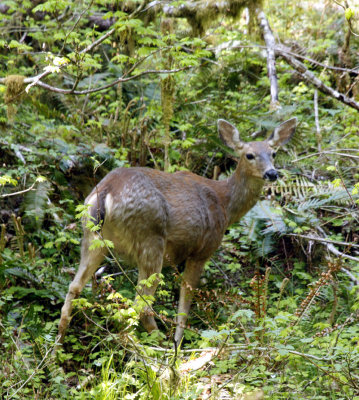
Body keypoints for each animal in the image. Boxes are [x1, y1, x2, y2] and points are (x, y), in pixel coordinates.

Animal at [57, 117, 296, 346]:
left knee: (74, 287)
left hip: (92, 235)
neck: (225, 205)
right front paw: (178, 342)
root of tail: (107, 191)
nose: (272, 173)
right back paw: (157, 349)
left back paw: (57, 348)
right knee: (141, 305)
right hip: (150, 238)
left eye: (273, 153)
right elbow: (185, 302)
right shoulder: (202, 250)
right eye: (249, 155)